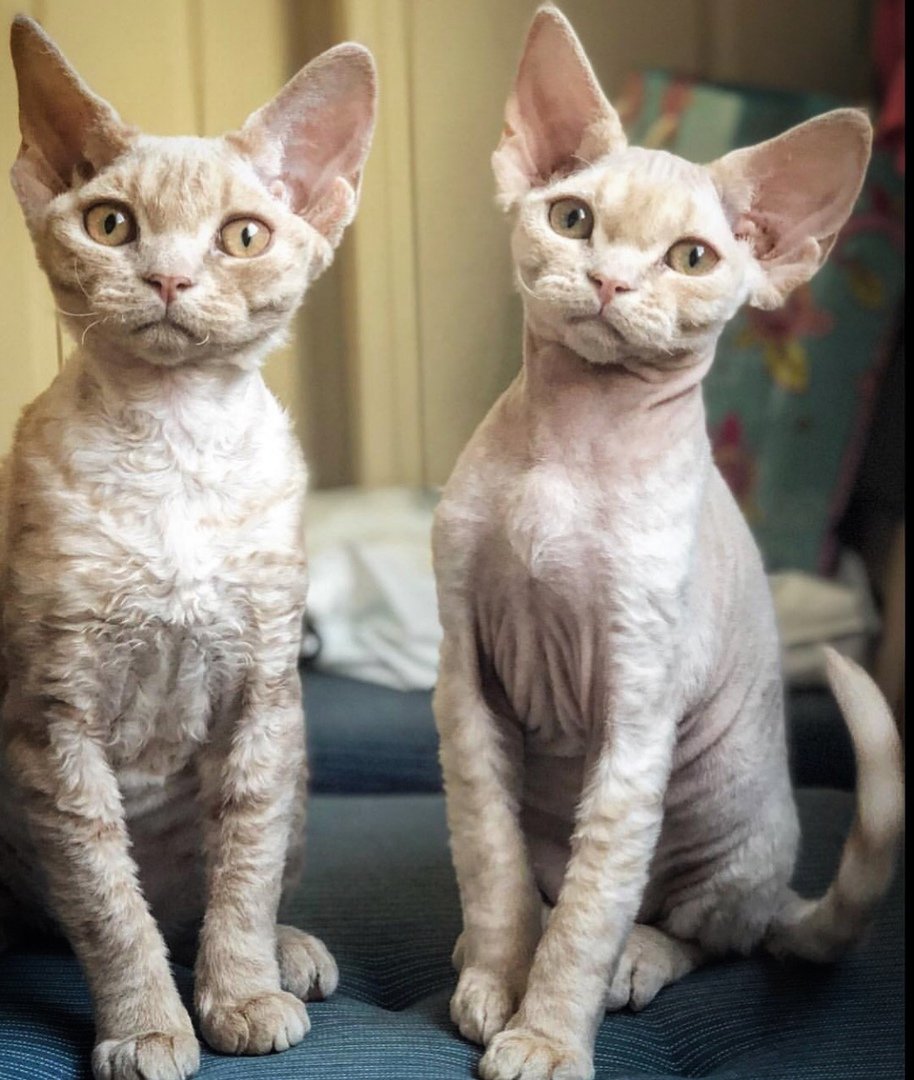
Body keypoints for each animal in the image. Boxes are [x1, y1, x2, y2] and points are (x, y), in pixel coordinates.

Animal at [0, 16, 375, 1080]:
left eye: (243, 235)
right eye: (110, 224)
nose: (167, 277)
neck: (173, 446)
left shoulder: (266, 700)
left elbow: (244, 867)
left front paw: (240, 991)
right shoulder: (52, 727)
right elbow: (104, 898)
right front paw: (146, 1026)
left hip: (301, 760)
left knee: (230, 885)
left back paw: (288, 951)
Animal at [431, 8, 904, 1080]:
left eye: (690, 259)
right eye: (572, 219)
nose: (608, 281)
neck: (570, 447)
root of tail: (783, 890)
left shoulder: (637, 711)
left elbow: (593, 909)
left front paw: (545, 1036)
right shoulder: (466, 684)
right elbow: (490, 857)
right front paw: (497, 975)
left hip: (725, 821)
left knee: (703, 929)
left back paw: (637, 961)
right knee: (544, 879)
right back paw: (480, 943)